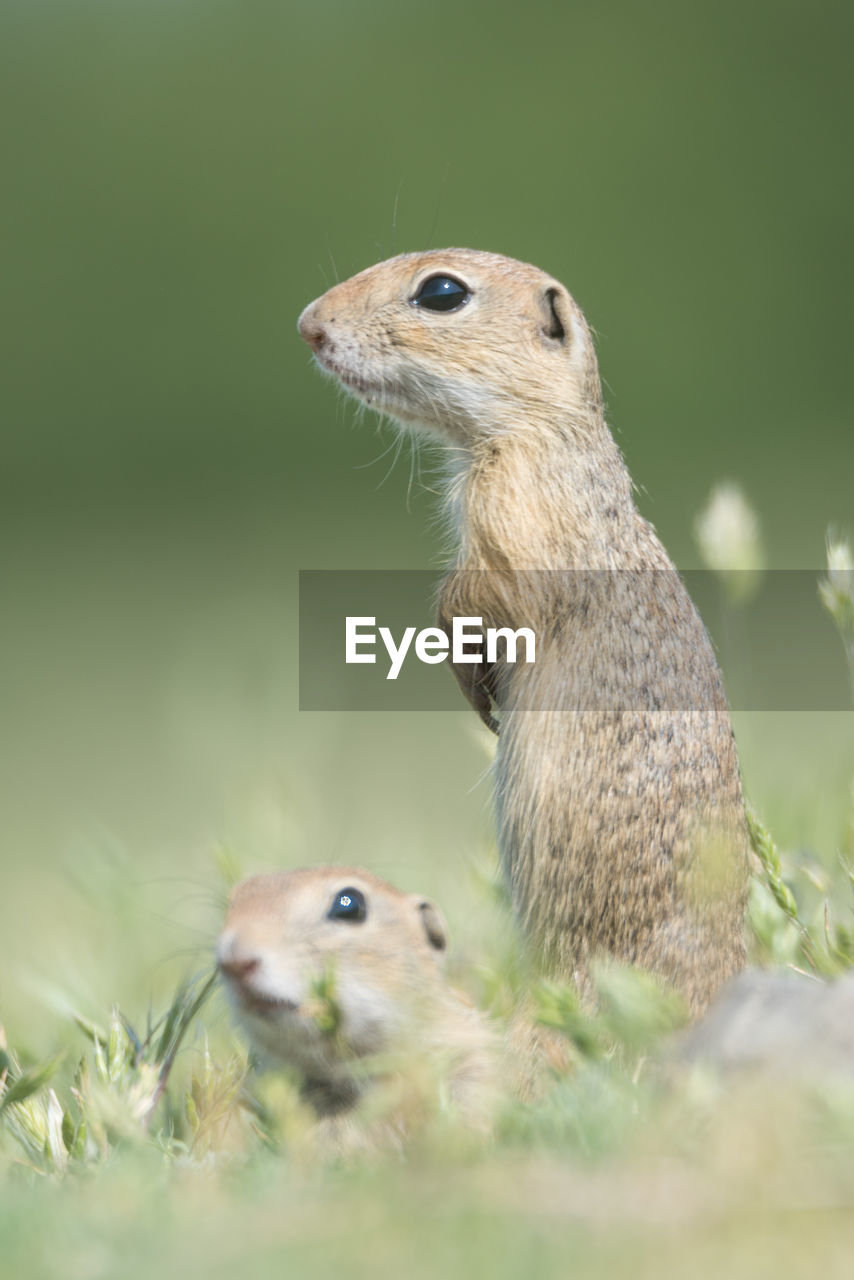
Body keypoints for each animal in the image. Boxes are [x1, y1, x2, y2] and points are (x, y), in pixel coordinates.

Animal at [299, 249, 747, 1013]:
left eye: (441, 292)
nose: (309, 325)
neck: (546, 430)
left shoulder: (514, 512)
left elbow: (476, 597)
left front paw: (476, 687)